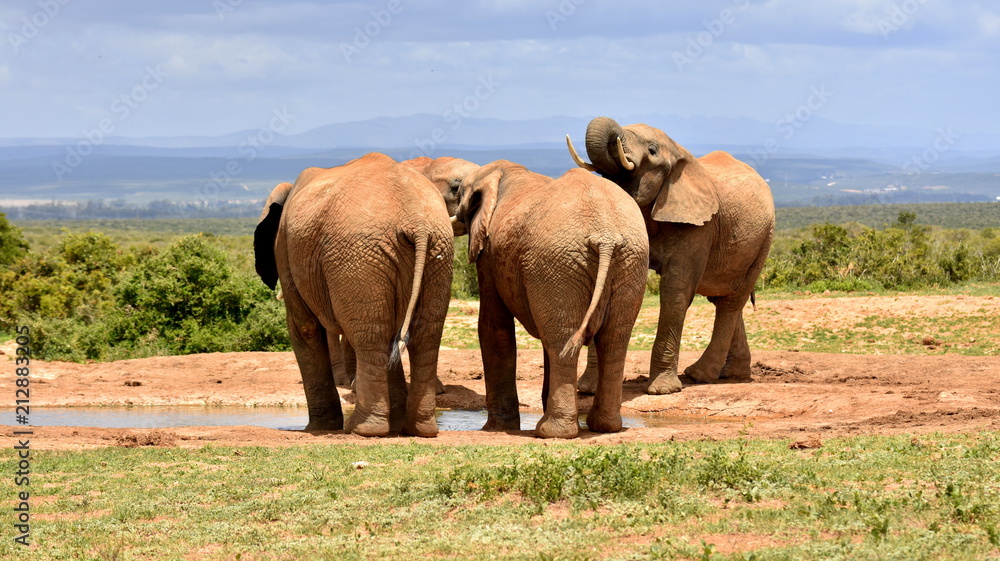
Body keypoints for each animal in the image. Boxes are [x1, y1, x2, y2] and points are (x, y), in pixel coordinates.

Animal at [253, 152, 456, 437]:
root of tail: (416, 220)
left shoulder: (285, 250)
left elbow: (305, 328)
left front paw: (319, 427)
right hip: (436, 252)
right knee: (424, 335)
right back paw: (419, 429)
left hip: (357, 256)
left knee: (372, 336)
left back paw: (362, 429)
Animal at [452, 160, 649, 438]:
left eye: (460, 194)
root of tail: (605, 236)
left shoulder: (489, 255)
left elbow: (493, 328)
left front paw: (495, 429)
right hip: (628, 262)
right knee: (612, 340)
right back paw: (604, 426)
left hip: (555, 263)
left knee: (562, 338)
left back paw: (551, 432)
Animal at [566, 117, 774, 395]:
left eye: (652, 150)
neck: (678, 153)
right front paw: (588, 389)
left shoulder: (700, 226)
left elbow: (675, 290)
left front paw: (662, 390)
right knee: (723, 298)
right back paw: (731, 373)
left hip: (764, 240)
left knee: (732, 301)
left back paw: (700, 375)